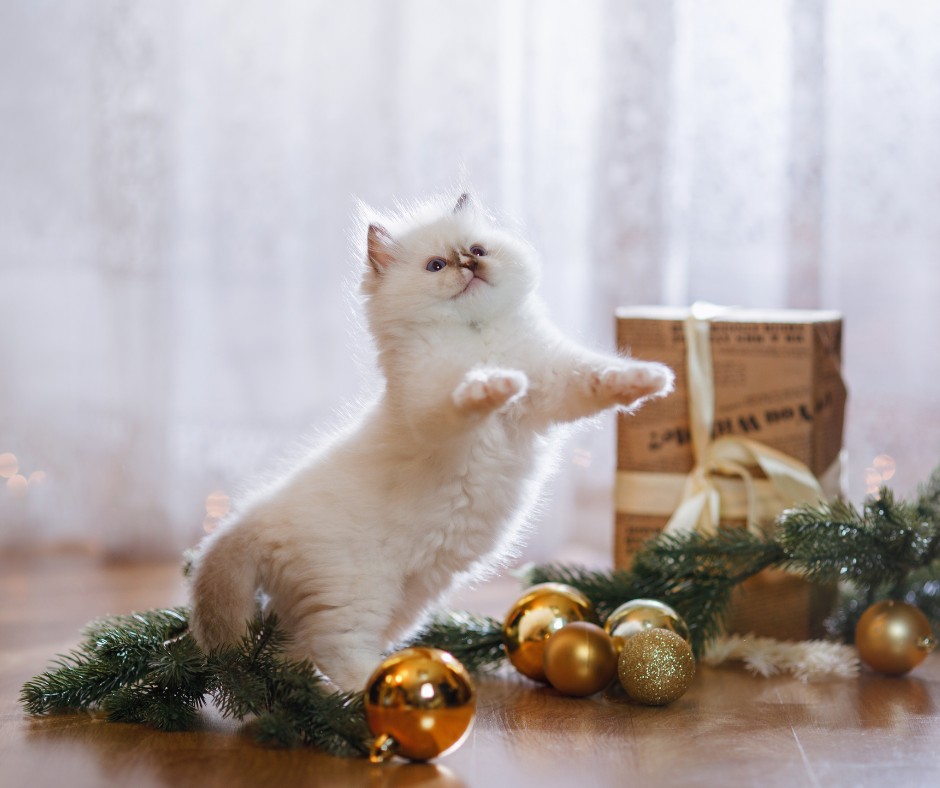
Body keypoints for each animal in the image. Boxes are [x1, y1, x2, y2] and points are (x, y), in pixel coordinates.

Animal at [187, 195, 672, 688]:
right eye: (436, 266)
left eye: (477, 249)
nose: (468, 264)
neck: (478, 336)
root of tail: (251, 518)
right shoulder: (430, 409)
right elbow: (462, 399)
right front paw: (493, 385)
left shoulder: (555, 382)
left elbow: (598, 376)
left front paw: (647, 379)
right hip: (360, 593)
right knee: (333, 651)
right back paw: (382, 689)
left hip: (403, 603)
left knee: (290, 656)